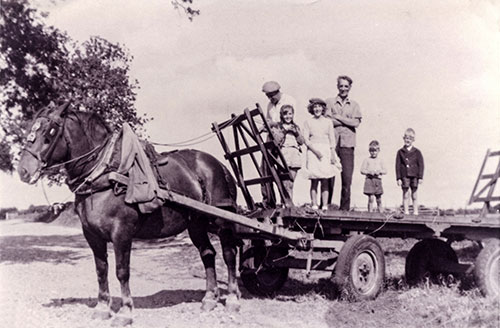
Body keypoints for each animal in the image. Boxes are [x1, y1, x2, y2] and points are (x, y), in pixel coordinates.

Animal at [16, 103, 241, 326]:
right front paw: (102, 307)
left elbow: (121, 271)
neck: (106, 174)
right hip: (196, 223)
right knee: (207, 253)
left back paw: (232, 298)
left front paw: (125, 312)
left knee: (229, 254)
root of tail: (218, 165)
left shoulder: (121, 233)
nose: (23, 171)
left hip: (223, 219)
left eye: (50, 132)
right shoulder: (92, 235)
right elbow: (101, 270)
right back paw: (209, 298)